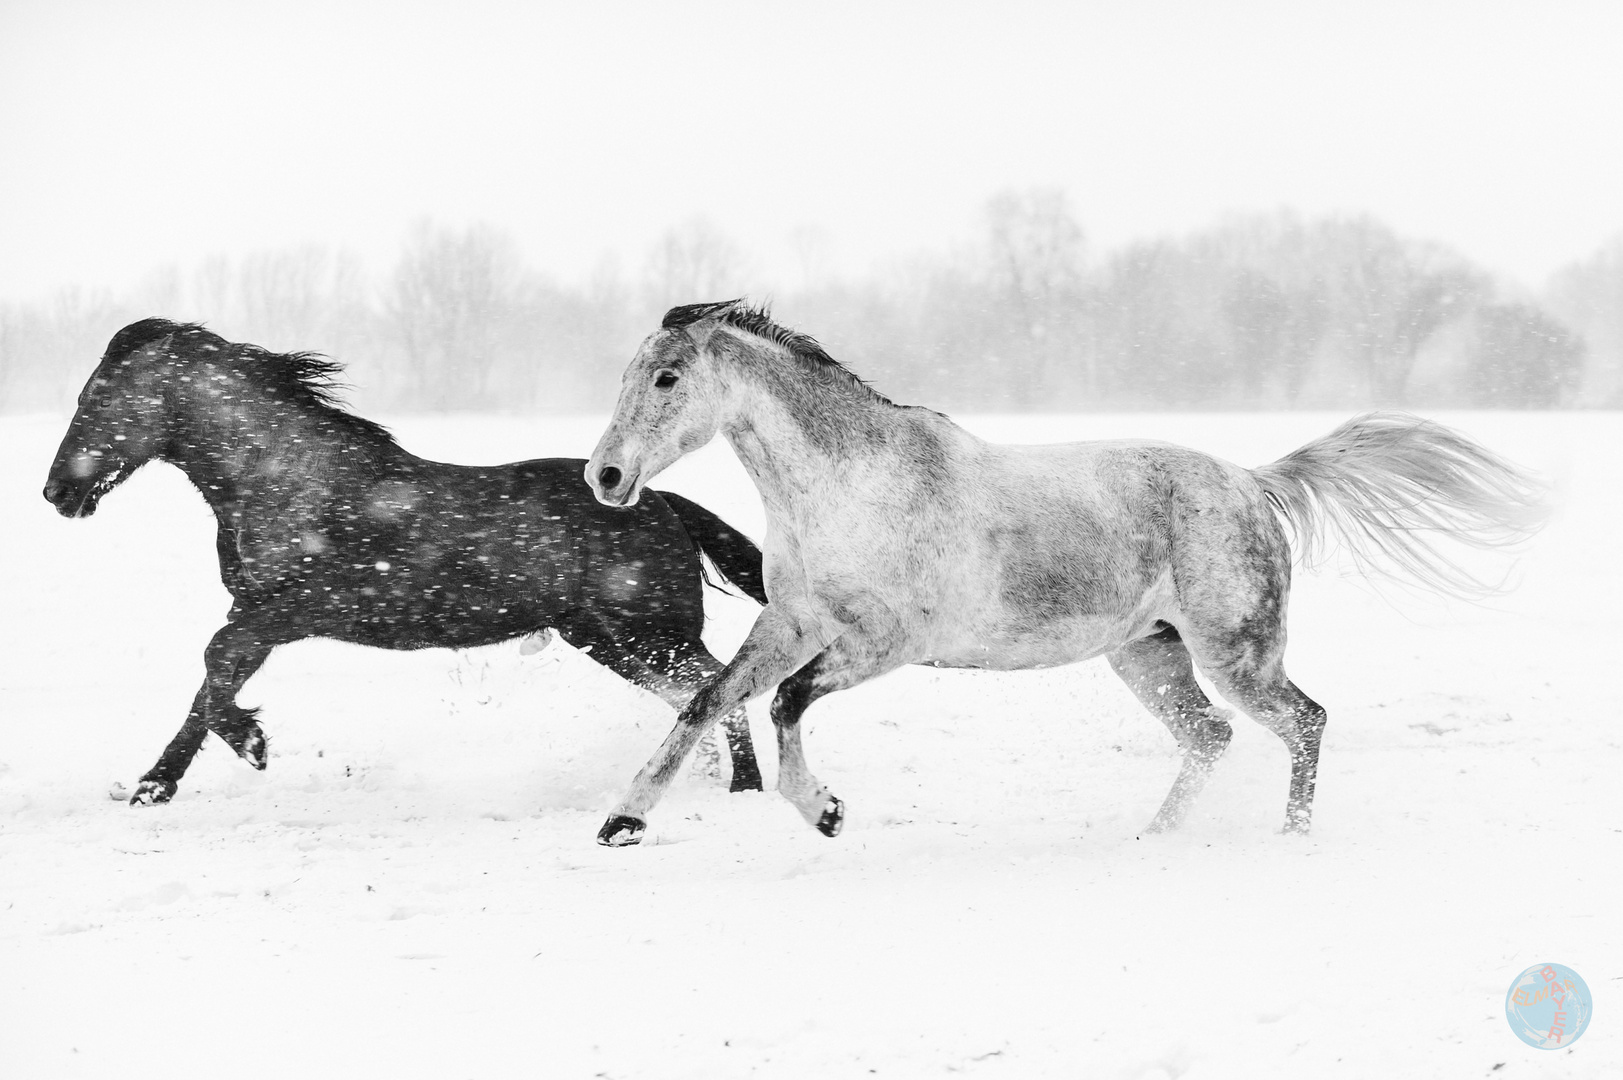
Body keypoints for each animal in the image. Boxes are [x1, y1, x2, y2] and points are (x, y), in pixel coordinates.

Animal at [44, 316, 766, 805]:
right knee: (693, 695)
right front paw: (154, 784)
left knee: (716, 684)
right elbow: (211, 682)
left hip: (649, 630)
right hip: (610, 638)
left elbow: (215, 661)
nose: (57, 493)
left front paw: (250, 747)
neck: (277, 479)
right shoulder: (256, 611)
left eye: (96, 399)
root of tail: (663, 503)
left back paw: (743, 788)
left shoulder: (302, 606)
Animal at [584, 298, 1545, 844]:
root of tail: (1252, 481)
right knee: (1211, 736)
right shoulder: (791, 623)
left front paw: (824, 811)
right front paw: (622, 822)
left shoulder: (884, 642)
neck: (848, 484)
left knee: (1302, 721)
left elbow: (784, 702)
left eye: (667, 378)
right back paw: (1151, 841)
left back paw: (1290, 841)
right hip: (1148, 654)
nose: (606, 477)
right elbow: (710, 701)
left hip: (1236, 651)